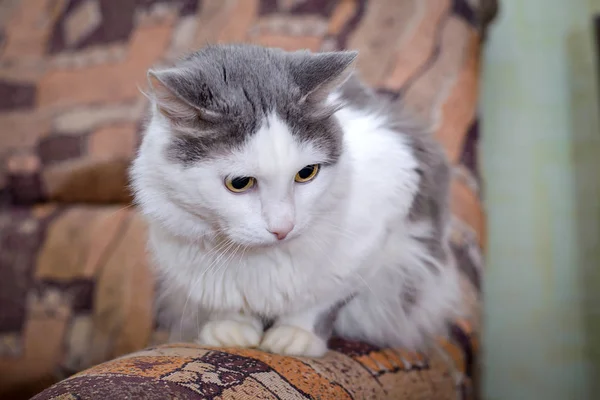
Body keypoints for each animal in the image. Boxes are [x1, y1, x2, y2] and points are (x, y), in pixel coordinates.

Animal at [129, 44, 462, 360]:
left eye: (306, 173)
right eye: (239, 183)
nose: (283, 228)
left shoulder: (376, 236)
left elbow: (319, 302)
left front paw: (294, 336)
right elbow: (228, 300)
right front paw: (232, 329)